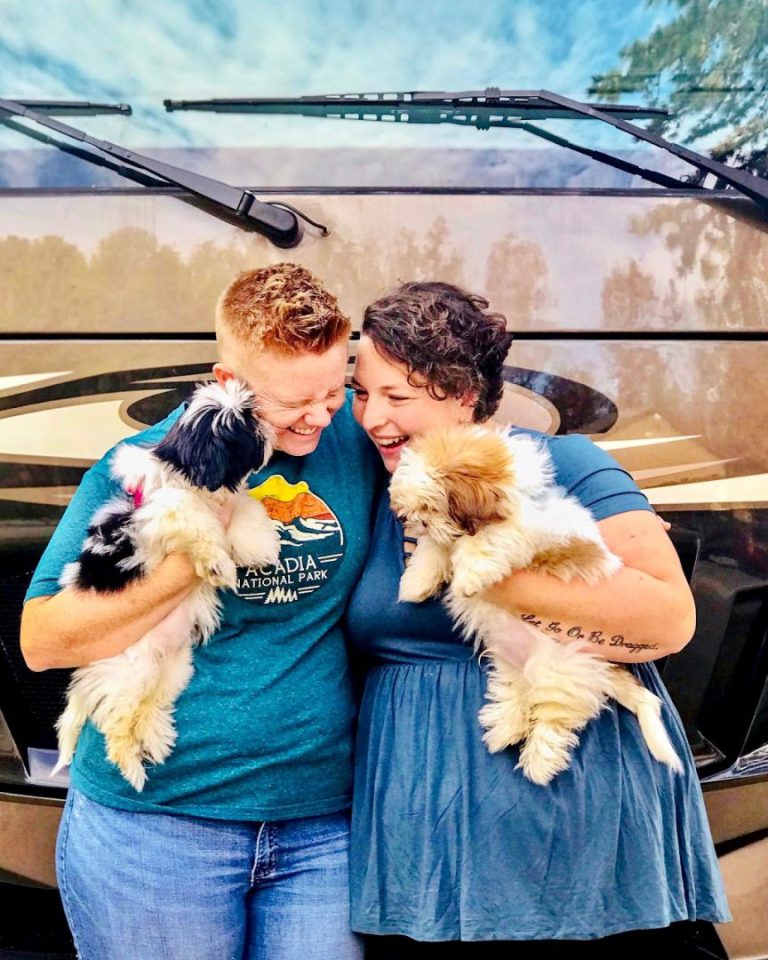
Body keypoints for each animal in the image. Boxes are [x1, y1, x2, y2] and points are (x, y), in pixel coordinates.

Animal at [54, 378, 282, 792]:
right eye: (245, 427)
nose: (267, 428)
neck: (186, 471)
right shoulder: (162, 511)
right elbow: (196, 519)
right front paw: (218, 563)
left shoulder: (229, 505)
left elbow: (244, 514)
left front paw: (259, 546)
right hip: (131, 673)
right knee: (117, 726)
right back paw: (132, 768)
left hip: (173, 670)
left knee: (148, 707)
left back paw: (157, 739)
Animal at [392, 428, 680, 788]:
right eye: (414, 508)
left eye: (431, 507)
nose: (414, 521)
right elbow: (434, 551)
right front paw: (416, 583)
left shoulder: (528, 529)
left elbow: (487, 540)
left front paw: (468, 576)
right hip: (511, 662)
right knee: (518, 694)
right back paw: (504, 729)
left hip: (560, 667)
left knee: (556, 717)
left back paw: (540, 761)